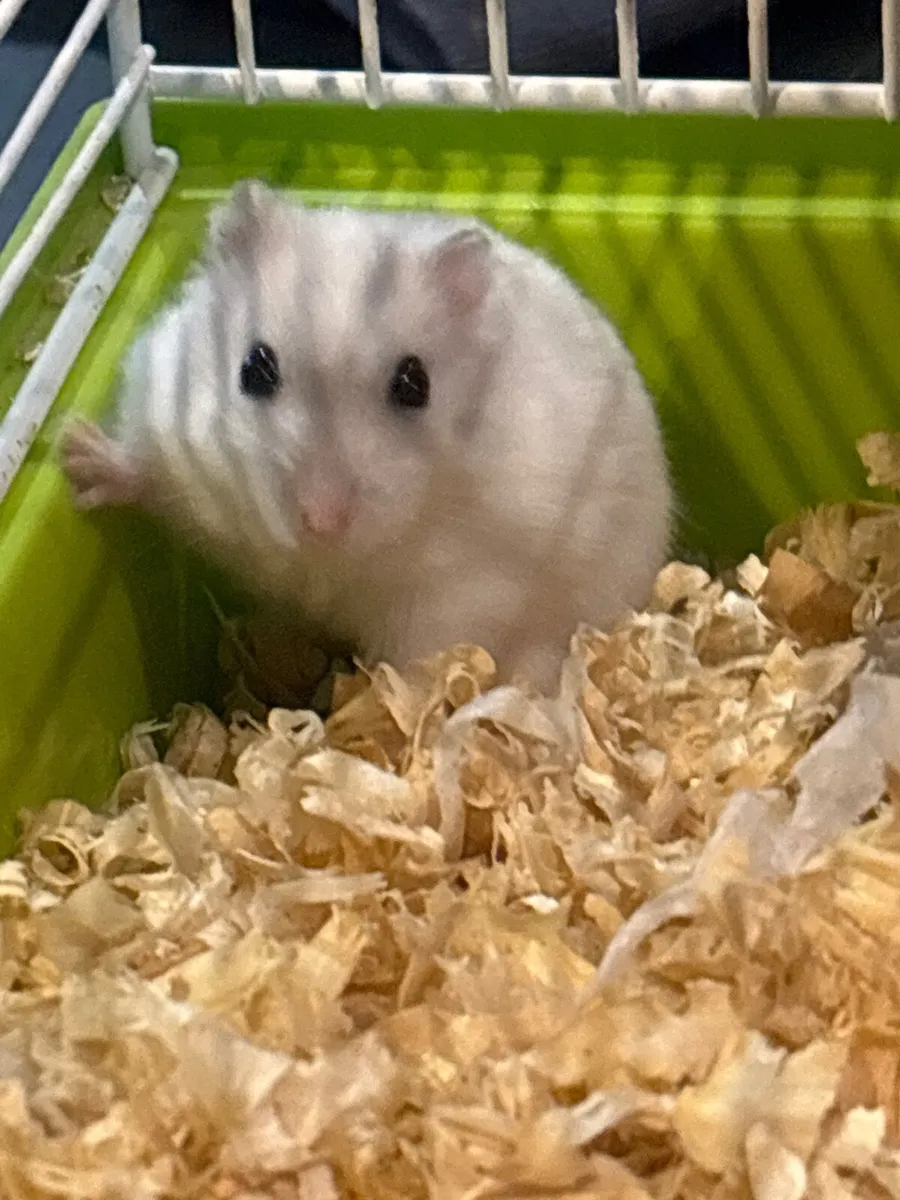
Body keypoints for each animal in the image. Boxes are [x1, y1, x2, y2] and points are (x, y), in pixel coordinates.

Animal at [62, 181, 672, 693]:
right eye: (254, 369)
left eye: (415, 385)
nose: (321, 521)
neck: (320, 566)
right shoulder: (168, 427)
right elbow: (148, 466)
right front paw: (76, 456)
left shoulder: (464, 592)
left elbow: (421, 659)